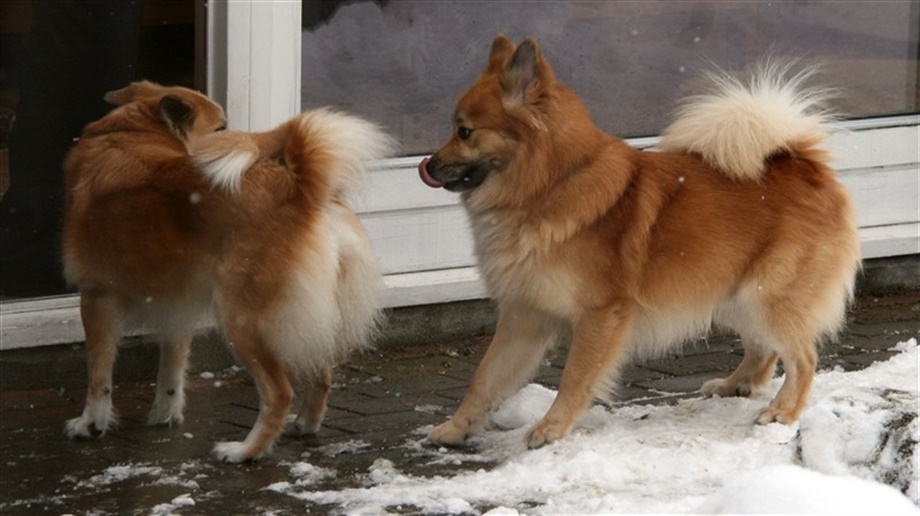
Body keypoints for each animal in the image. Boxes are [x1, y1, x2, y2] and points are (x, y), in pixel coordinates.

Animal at [62, 81, 394, 462]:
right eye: (220, 127)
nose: (232, 130)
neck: (133, 131)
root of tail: (299, 189)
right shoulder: (177, 307)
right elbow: (171, 368)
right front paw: (164, 415)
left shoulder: (96, 295)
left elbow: (98, 372)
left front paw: (91, 424)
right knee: (321, 372)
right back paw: (305, 425)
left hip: (239, 316)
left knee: (279, 392)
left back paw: (245, 451)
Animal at [420, 36, 861, 449]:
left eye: (464, 131)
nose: (429, 165)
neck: (551, 184)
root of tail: (805, 165)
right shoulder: (524, 314)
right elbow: (485, 378)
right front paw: (456, 429)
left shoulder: (600, 313)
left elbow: (574, 376)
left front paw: (552, 427)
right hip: (733, 294)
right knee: (764, 349)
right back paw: (735, 384)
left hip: (765, 294)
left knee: (803, 358)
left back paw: (782, 411)